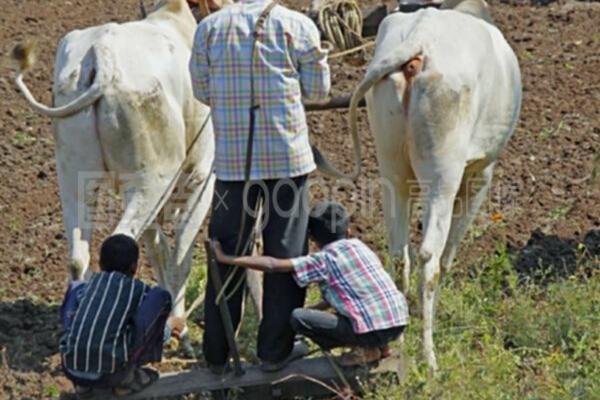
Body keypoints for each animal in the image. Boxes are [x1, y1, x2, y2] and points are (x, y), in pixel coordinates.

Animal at [11, 0, 214, 320]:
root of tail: (102, 53)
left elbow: (160, 248)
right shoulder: (202, 179)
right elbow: (180, 253)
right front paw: (176, 321)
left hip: (74, 178)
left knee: (78, 258)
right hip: (152, 182)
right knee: (121, 240)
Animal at [350, 0, 524, 372]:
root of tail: (420, 41)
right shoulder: (480, 175)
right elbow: (447, 256)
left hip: (392, 169)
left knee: (398, 254)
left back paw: (398, 338)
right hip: (444, 174)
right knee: (428, 256)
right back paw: (428, 357)